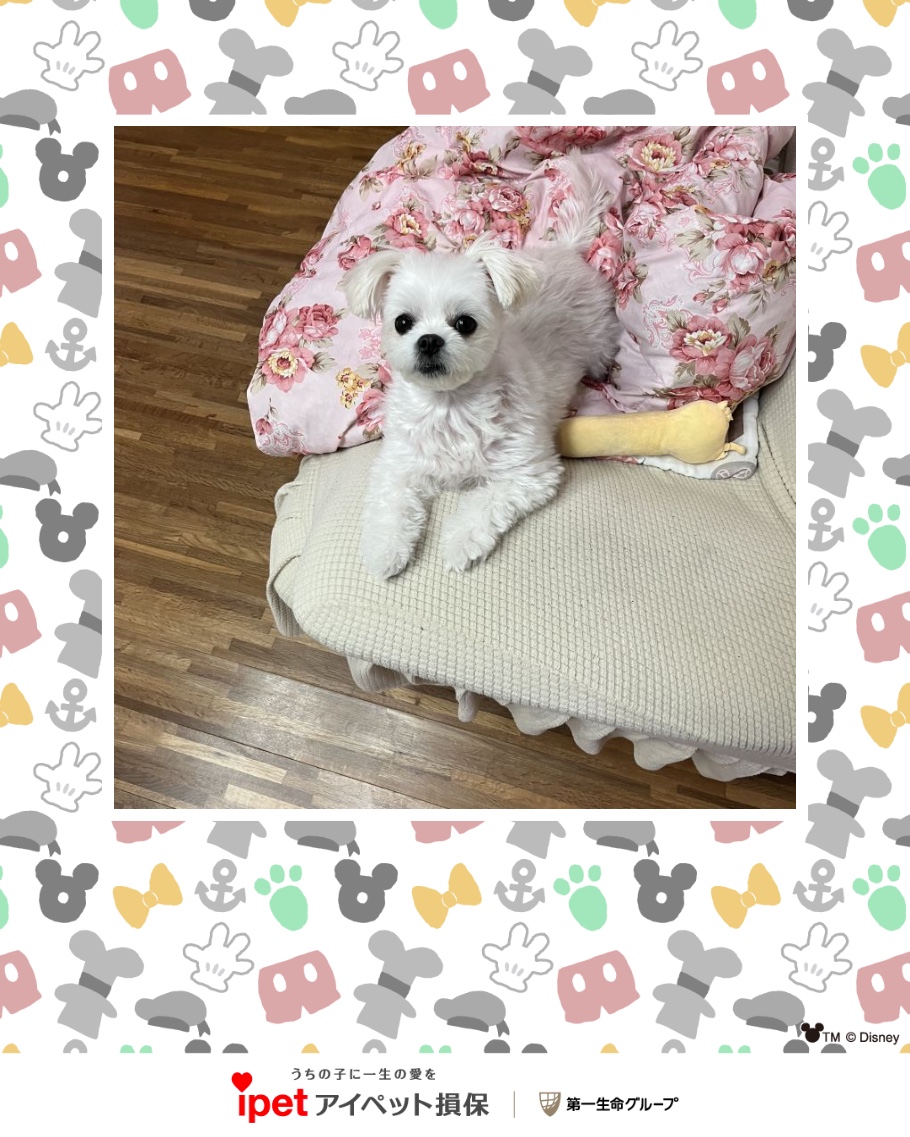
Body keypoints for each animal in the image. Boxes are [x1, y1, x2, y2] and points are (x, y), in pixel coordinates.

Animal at [340, 156, 621, 579]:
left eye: (465, 323)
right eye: (403, 322)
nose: (429, 340)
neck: (450, 405)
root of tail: (565, 250)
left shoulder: (528, 471)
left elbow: (482, 505)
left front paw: (459, 543)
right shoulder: (399, 463)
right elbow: (391, 503)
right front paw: (385, 550)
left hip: (599, 340)